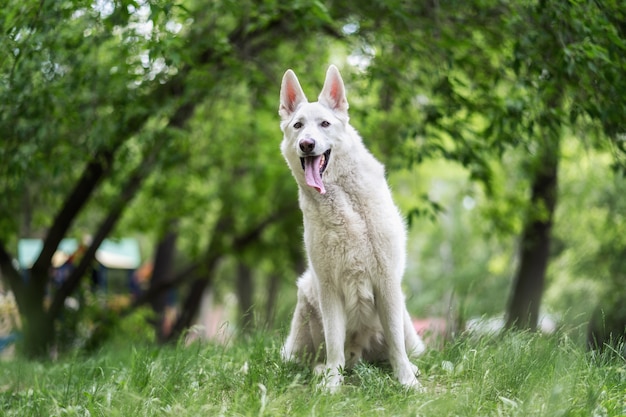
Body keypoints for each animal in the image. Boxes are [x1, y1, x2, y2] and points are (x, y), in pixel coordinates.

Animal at [280, 64, 422, 390]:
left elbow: (395, 343)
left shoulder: (386, 281)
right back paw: (323, 369)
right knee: (318, 356)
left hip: (407, 323)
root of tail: (359, 353)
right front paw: (332, 383)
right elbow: (334, 342)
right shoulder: (328, 287)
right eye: (298, 126)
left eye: (324, 124)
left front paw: (407, 381)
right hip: (306, 294)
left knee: (400, 347)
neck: (342, 201)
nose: (307, 144)